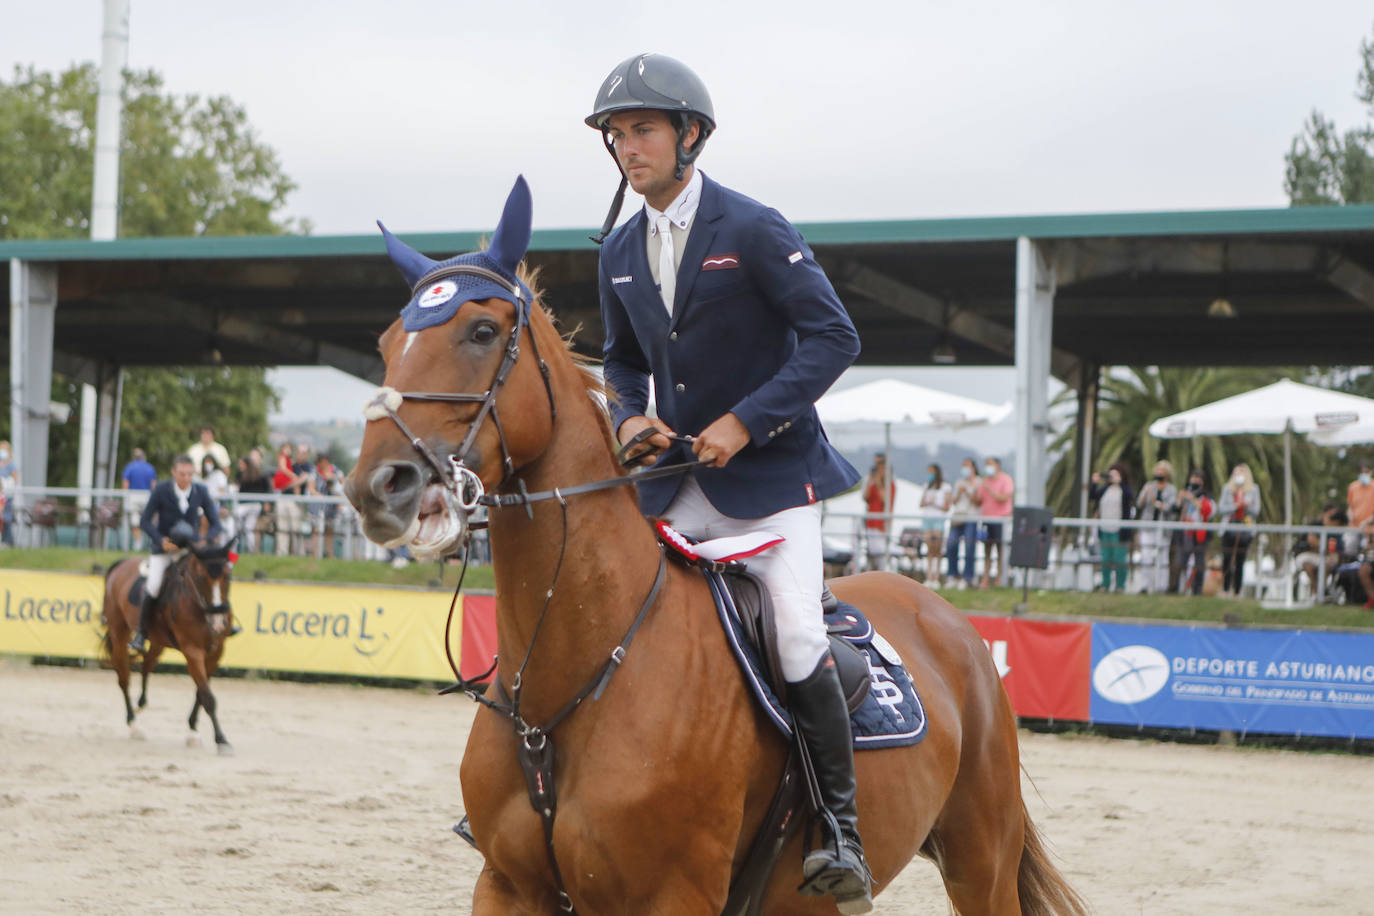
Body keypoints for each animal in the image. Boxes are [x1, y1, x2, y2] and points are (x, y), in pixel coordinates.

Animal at [100, 540, 238, 755]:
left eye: (228, 576)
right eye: (201, 577)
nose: (218, 624)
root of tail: (121, 564)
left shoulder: (216, 652)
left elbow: (201, 692)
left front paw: (193, 731)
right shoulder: (193, 651)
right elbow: (208, 697)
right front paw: (221, 740)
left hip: (157, 640)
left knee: (147, 664)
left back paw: (141, 703)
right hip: (118, 633)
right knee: (124, 677)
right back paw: (134, 725)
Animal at [345, 178, 1086, 915]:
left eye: (482, 331)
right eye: (386, 341)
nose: (377, 487)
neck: (575, 679)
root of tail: (945, 617)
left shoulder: (676, 893)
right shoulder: (506, 886)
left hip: (980, 859)